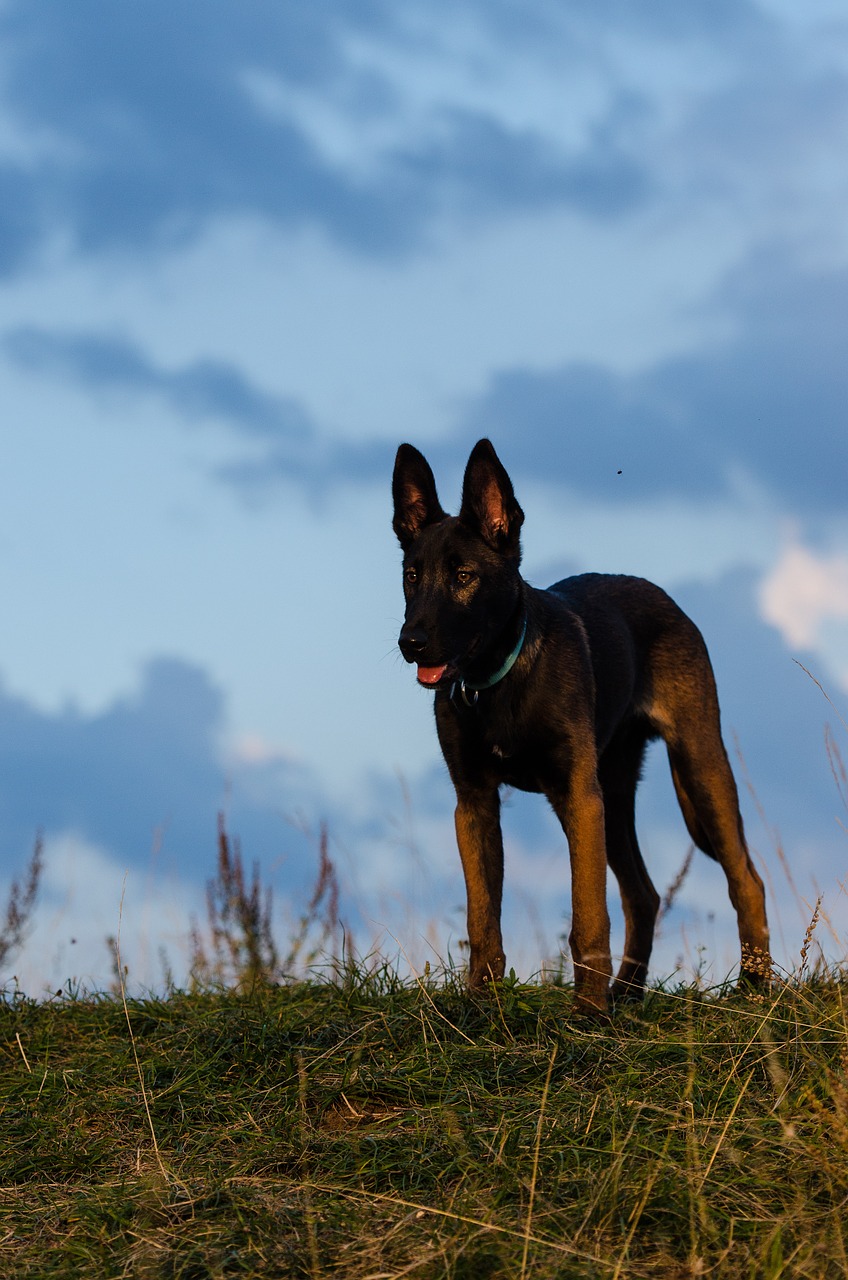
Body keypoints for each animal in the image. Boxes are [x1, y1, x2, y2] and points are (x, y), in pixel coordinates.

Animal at [394, 437, 773, 1008]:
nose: (409, 642)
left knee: (746, 879)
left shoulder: (577, 794)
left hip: (698, 765)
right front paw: (482, 1004)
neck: (500, 681)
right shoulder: (474, 803)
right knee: (644, 895)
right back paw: (627, 992)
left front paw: (588, 1013)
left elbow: (588, 915)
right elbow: (483, 918)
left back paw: (754, 989)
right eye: (412, 576)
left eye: (464, 577)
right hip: (614, 794)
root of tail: (667, 599)